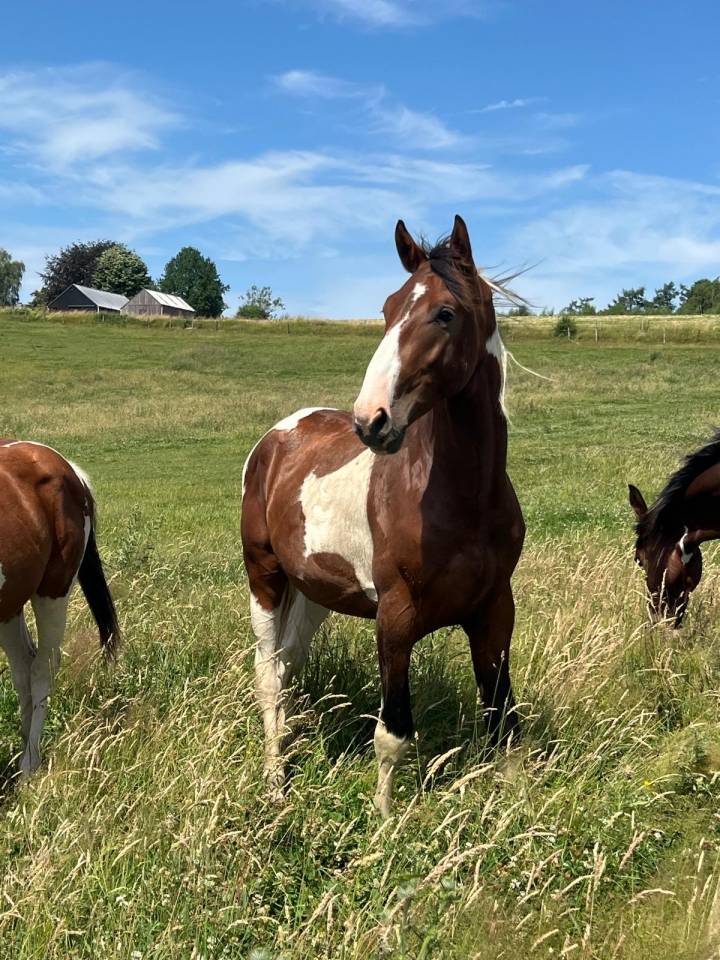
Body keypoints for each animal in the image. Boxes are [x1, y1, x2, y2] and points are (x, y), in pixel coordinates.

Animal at [241, 215, 525, 816]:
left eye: (445, 313)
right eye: (388, 309)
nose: (370, 421)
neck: (463, 499)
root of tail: (276, 437)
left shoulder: (495, 612)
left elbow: (502, 720)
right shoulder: (395, 620)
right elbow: (392, 733)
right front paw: (385, 820)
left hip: (316, 593)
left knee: (289, 664)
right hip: (265, 578)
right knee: (269, 677)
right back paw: (275, 782)